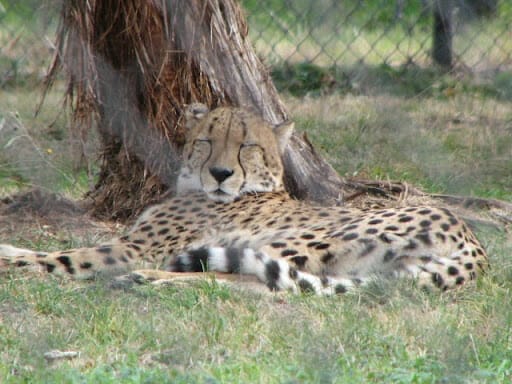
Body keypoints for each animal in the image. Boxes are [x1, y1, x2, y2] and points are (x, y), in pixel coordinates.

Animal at [0, 104, 488, 294]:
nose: (221, 174)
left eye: (247, 146)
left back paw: (152, 278)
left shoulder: (133, 247)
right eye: (207, 141)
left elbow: (65, 256)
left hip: (285, 240)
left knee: (255, 280)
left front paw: (12, 261)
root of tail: (473, 242)